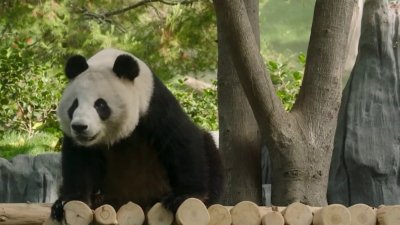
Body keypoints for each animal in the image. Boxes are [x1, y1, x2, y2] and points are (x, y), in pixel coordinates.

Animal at [50, 48, 223, 221]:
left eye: (100, 105)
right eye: (74, 105)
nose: (80, 127)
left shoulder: (154, 106)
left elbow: (181, 141)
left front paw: (182, 197)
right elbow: (78, 161)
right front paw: (74, 200)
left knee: (208, 148)